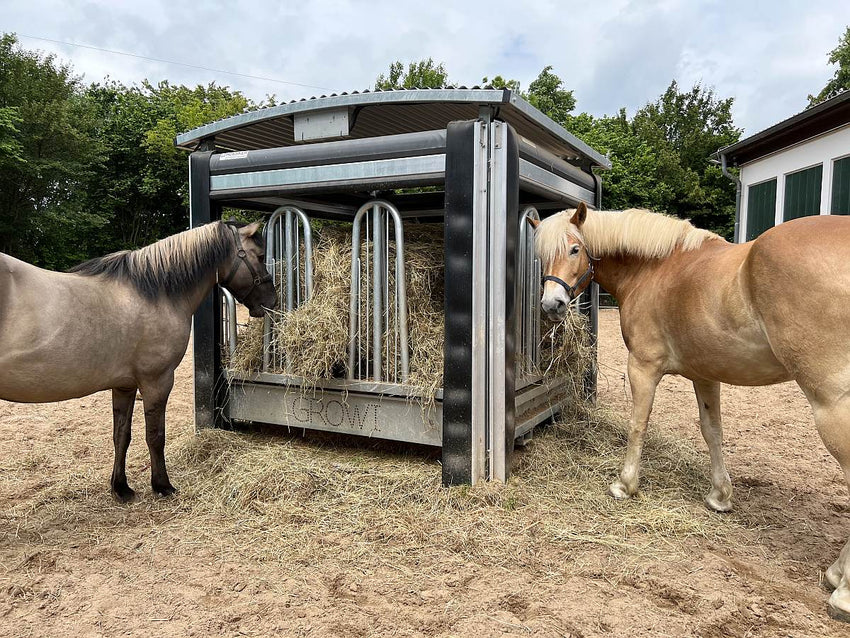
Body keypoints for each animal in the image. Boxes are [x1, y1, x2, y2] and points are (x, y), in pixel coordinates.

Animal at [0, 220, 274, 504]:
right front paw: (162, 485)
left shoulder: (125, 385)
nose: (271, 301)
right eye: (260, 256)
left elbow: (121, 435)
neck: (156, 293)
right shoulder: (157, 381)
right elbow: (155, 436)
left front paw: (121, 487)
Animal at [528, 204, 848, 620]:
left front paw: (624, 485)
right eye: (541, 255)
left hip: (831, 404)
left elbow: (638, 425)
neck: (656, 269)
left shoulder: (643, 366)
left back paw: (842, 589)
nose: (551, 306)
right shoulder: (705, 374)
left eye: (574, 249)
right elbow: (712, 432)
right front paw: (720, 496)